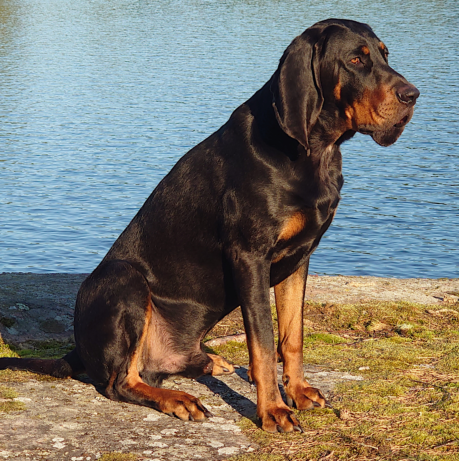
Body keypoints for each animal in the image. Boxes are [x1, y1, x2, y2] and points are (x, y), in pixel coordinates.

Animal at [0, 19, 419, 433]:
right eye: (355, 59)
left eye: (384, 54)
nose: (413, 95)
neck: (313, 152)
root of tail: (78, 347)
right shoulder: (250, 256)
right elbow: (263, 341)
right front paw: (273, 410)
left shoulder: (299, 258)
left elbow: (292, 335)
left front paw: (297, 391)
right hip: (123, 279)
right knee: (121, 382)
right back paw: (178, 399)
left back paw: (207, 362)